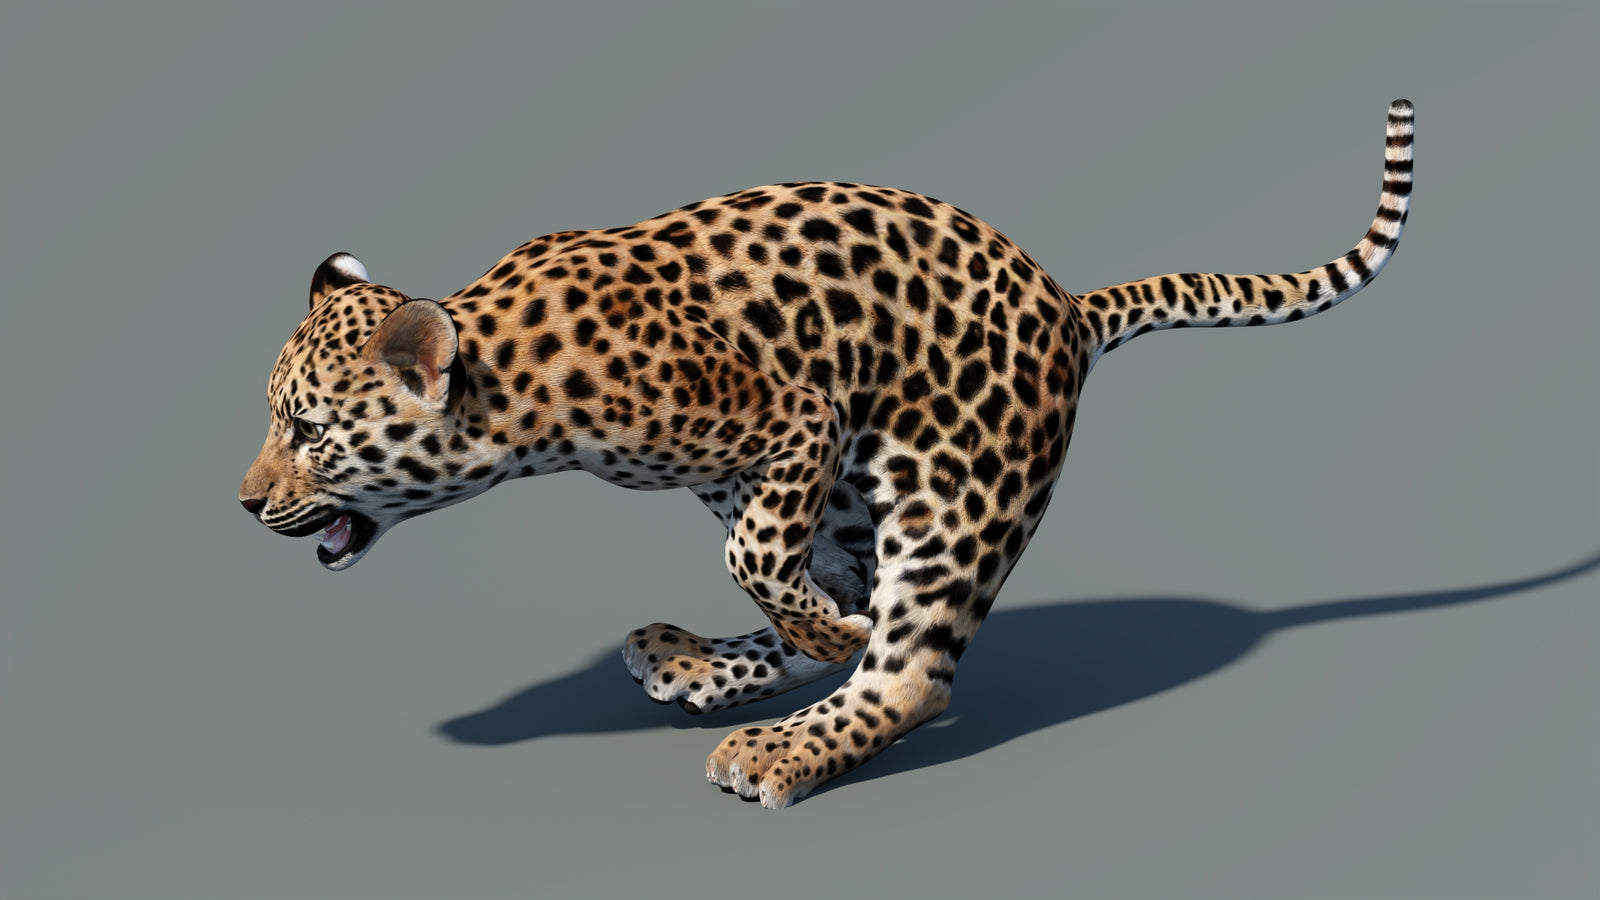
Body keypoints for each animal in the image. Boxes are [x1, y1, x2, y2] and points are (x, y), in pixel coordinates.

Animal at [241, 100, 1414, 808]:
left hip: (955, 491)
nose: (245, 504)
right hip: (848, 493)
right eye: (272, 421)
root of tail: (1069, 307)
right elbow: (780, 574)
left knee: (912, 671)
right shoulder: (762, 464)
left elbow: (758, 560)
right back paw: (700, 660)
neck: (515, 387)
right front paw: (794, 633)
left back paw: (782, 743)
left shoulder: (793, 415)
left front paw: (811, 635)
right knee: (859, 610)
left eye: (308, 431)